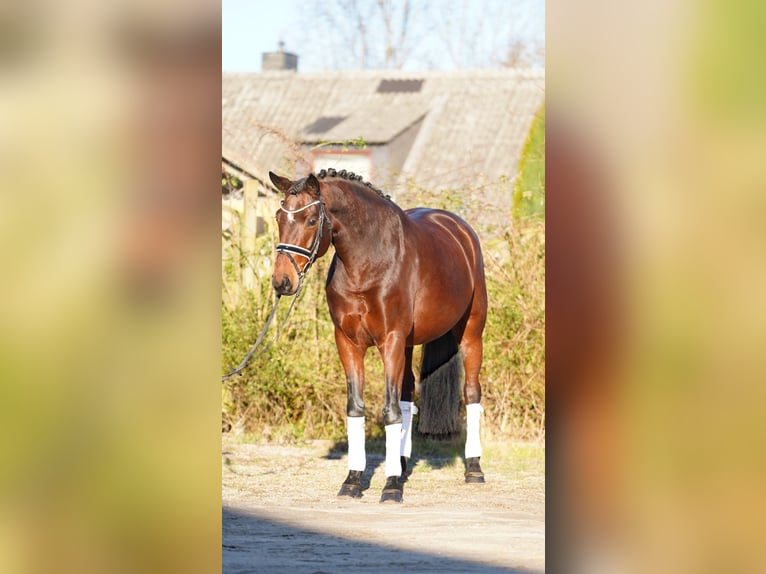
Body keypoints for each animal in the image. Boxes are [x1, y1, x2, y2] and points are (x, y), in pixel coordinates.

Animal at [268, 169, 486, 502]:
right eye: (280, 217)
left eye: (310, 220)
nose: (282, 281)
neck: (367, 263)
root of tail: (459, 228)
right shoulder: (348, 343)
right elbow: (357, 408)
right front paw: (354, 480)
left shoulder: (390, 340)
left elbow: (390, 410)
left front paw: (391, 485)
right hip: (408, 345)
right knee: (408, 394)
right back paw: (403, 464)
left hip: (471, 332)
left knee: (471, 393)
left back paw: (473, 468)